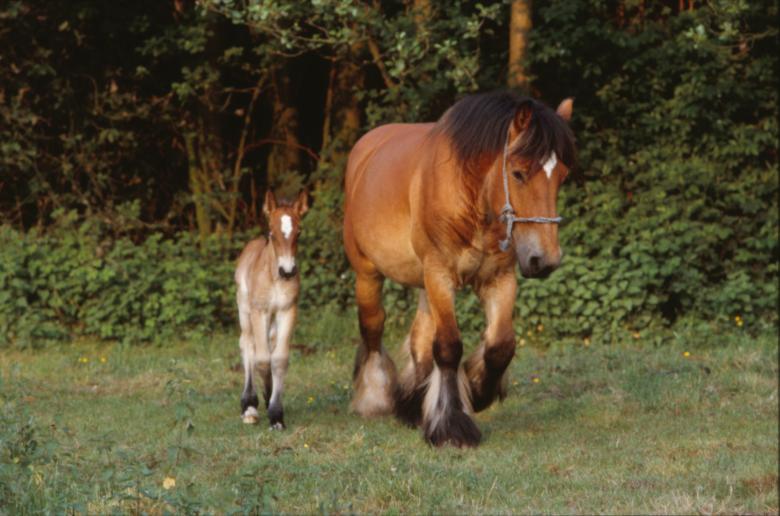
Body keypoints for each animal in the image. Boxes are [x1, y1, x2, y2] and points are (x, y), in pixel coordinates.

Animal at [235, 189, 308, 429]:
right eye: (272, 233)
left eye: (299, 233)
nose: (288, 271)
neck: (275, 277)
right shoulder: (260, 311)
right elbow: (262, 359)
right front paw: (260, 405)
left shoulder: (288, 310)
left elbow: (278, 358)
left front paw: (276, 413)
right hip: (245, 311)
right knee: (248, 344)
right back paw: (249, 406)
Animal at [342, 90, 575, 447]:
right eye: (518, 173)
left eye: (562, 176)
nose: (544, 260)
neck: (470, 198)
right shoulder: (440, 276)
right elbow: (449, 347)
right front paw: (452, 425)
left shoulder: (499, 279)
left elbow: (500, 345)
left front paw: (478, 390)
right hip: (368, 274)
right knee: (373, 327)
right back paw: (375, 399)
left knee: (419, 339)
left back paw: (412, 405)